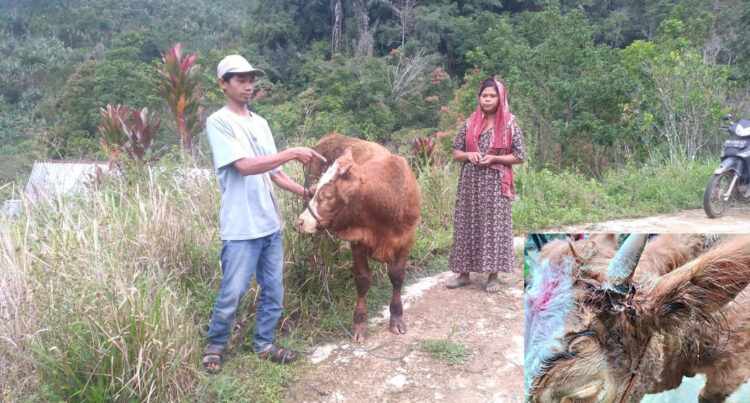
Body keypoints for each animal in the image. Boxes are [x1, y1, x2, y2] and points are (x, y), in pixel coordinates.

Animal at [296, 134, 420, 342]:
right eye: (316, 191)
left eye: (328, 196)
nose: (302, 220)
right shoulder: (358, 243)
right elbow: (363, 280)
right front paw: (359, 324)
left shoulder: (406, 241)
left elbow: (397, 277)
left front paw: (396, 318)